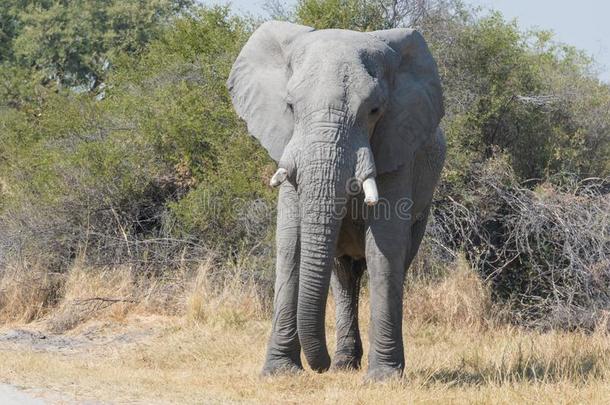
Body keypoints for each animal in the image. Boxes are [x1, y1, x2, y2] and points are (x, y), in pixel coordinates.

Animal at [226, 21, 444, 382]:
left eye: (374, 111)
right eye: (290, 106)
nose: (321, 366)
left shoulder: (398, 147)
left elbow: (385, 246)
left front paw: (384, 378)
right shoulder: (288, 148)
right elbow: (290, 244)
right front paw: (280, 373)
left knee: (396, 263)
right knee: (344, 275)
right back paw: (345, 362)